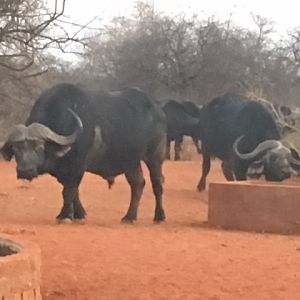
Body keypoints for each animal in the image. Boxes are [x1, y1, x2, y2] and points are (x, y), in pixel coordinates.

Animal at [0, 82, 166, 223]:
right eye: (15, 149)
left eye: (39, 146)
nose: (24, 171)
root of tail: (158, 111)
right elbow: (74, 192)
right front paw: (79, 214)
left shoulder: (78, 166)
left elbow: (69, 191)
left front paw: (65, 216)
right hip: (131, 161)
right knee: (137, 184)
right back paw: (129, 217)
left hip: (155, 156)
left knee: (157, 183)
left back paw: (159, 216)